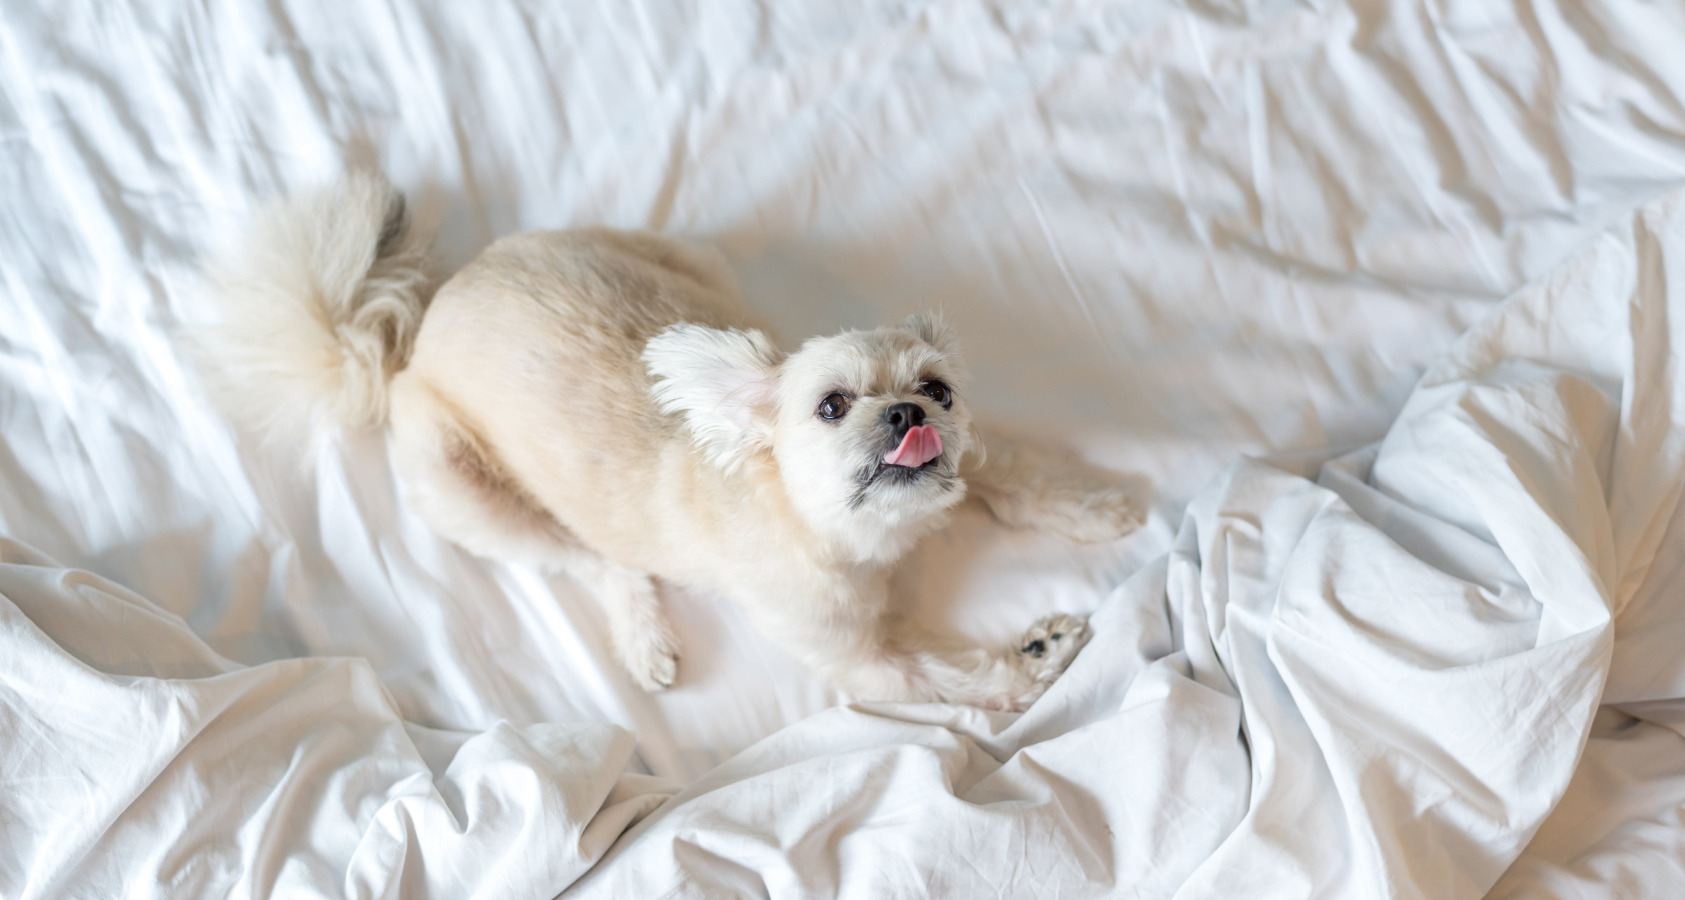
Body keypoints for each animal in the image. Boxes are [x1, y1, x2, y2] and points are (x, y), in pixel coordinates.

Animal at [187, 174, 1145, 711]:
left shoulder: (971, 458)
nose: (907, 417)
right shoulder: (864, 661)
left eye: (937, 390)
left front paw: (1099, 507)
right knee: (593, 562)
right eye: (832, 406)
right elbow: (954, 676)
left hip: (685, 262)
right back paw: (642, 637)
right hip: (459, 489)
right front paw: (1036, 658)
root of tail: (417, 322)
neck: (866, 537)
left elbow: (1014, 471)